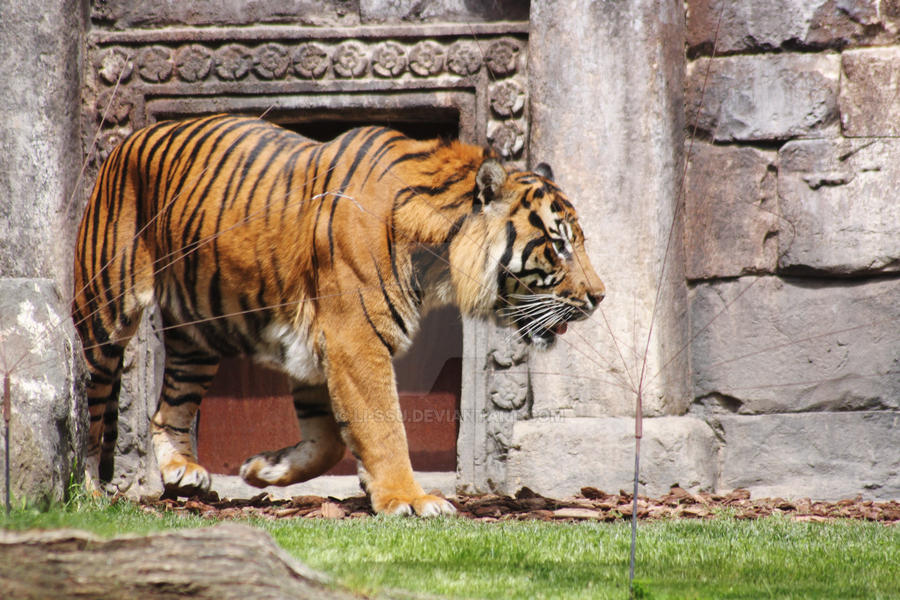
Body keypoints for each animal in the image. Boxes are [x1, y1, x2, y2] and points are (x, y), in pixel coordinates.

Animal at [72, 114, 604, 516]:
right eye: (558, 245)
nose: (600, 296)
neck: (439, 258)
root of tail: (125, 142)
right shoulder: (355, 339)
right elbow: (383, 424)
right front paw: (411, 499)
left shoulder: (316, 344)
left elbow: (328, 439)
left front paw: (264, 469)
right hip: (105, 313)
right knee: (91, 407)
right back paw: (90, 492)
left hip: (198, 334)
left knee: (169, 407)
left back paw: (182, 472)